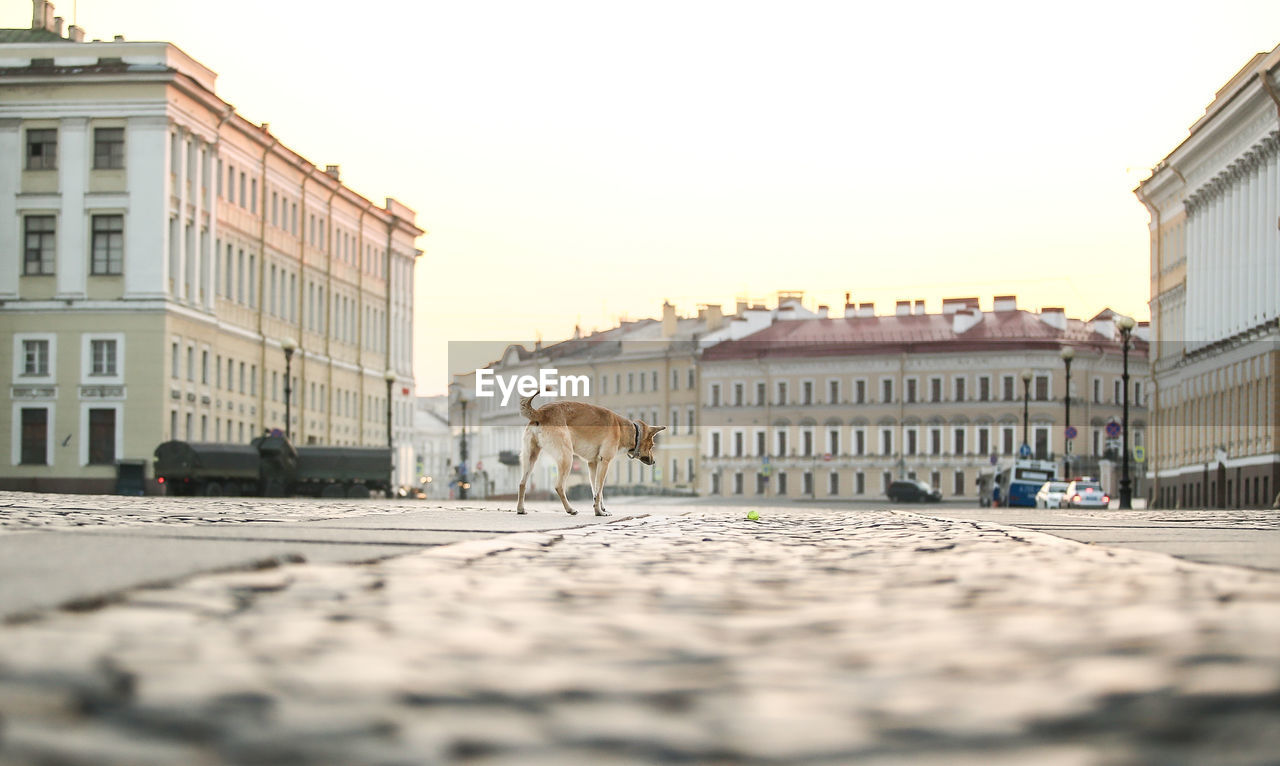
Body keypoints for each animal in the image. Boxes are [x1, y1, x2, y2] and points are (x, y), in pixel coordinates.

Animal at [514, 394, 665, 520]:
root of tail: (541, 412)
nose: (654, 461)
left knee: (522, 483)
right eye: (652, 445)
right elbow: (599, 490)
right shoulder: (605, 462)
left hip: (530, 457)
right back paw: (570, 509)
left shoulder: (593, 464)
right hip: (567, 458)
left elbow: (596, 490)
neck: (628, 431)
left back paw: (520, 509)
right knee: (559, 486)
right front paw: (599, 512)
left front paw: (601, 508)